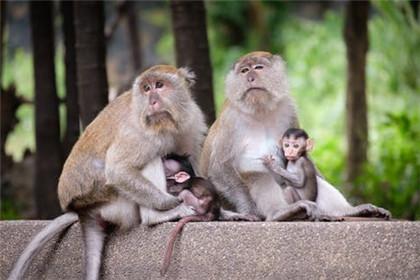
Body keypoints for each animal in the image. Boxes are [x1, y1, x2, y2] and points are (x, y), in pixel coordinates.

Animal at [8, 65, 207, 280]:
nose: (152, 102)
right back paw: (156, 216)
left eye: (159, 85)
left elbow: (191, 159)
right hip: (116, 204)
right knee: (151, 159)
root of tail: (83, 209)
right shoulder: (138, 133)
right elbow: (118, 170)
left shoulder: (192, 119)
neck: (167, 125)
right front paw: (174, 202)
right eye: (146, 89)